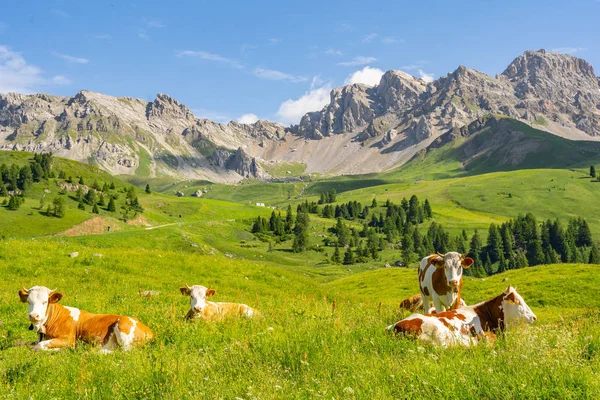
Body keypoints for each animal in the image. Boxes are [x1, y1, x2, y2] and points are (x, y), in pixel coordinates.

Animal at [19, 284, 154, 354]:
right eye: (29, 301)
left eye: (45, 302)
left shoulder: (68, 339)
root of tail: (149, 330)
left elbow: (40, 346)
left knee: (125, 352)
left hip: (123, 327)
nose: (34, 315)